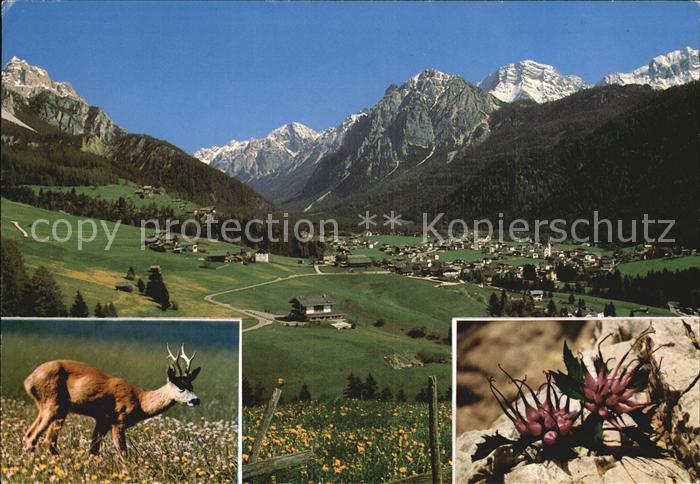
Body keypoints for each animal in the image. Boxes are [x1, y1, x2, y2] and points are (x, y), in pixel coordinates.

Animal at [22, 343, 201, 457]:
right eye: (180, 387)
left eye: (192, 385)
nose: (196, 400)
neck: (141, 401)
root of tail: (29, 380)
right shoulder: (118, 420)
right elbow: (123, 454)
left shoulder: (103, 420)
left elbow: (93, 451)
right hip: (52, 403)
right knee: (32, 436)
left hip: (57, 408)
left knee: (47, 440)